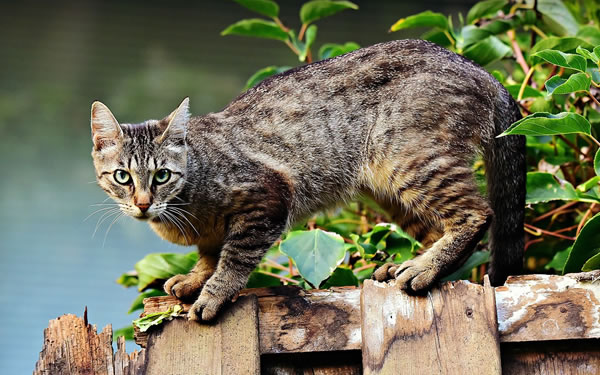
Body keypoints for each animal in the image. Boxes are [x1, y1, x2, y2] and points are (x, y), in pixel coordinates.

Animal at [90, 39, 524, 324]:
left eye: (162, 175)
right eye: (122, 177)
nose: (143, 203)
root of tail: (483, 72)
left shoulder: (268, 198)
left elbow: (233, 258)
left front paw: (213, 293)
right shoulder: (212, 233)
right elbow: (210, 254)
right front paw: (196, 279)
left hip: (408, 160)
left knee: (476, 214)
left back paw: (424, 268)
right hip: (387, 187)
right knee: (436, 226)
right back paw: (410, 264)